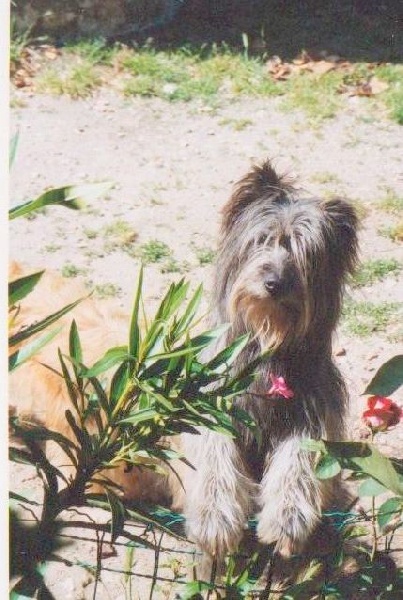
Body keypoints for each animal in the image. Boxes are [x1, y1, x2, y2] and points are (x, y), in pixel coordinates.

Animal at [183, 158, 360, 576]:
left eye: (305, 253)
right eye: (262, 240)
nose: (274, 282)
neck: (268, 341)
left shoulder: (311, 411)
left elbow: (299, 460)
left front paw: (286, 520)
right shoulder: (212, 404)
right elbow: (215, 453)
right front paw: (215, 520)